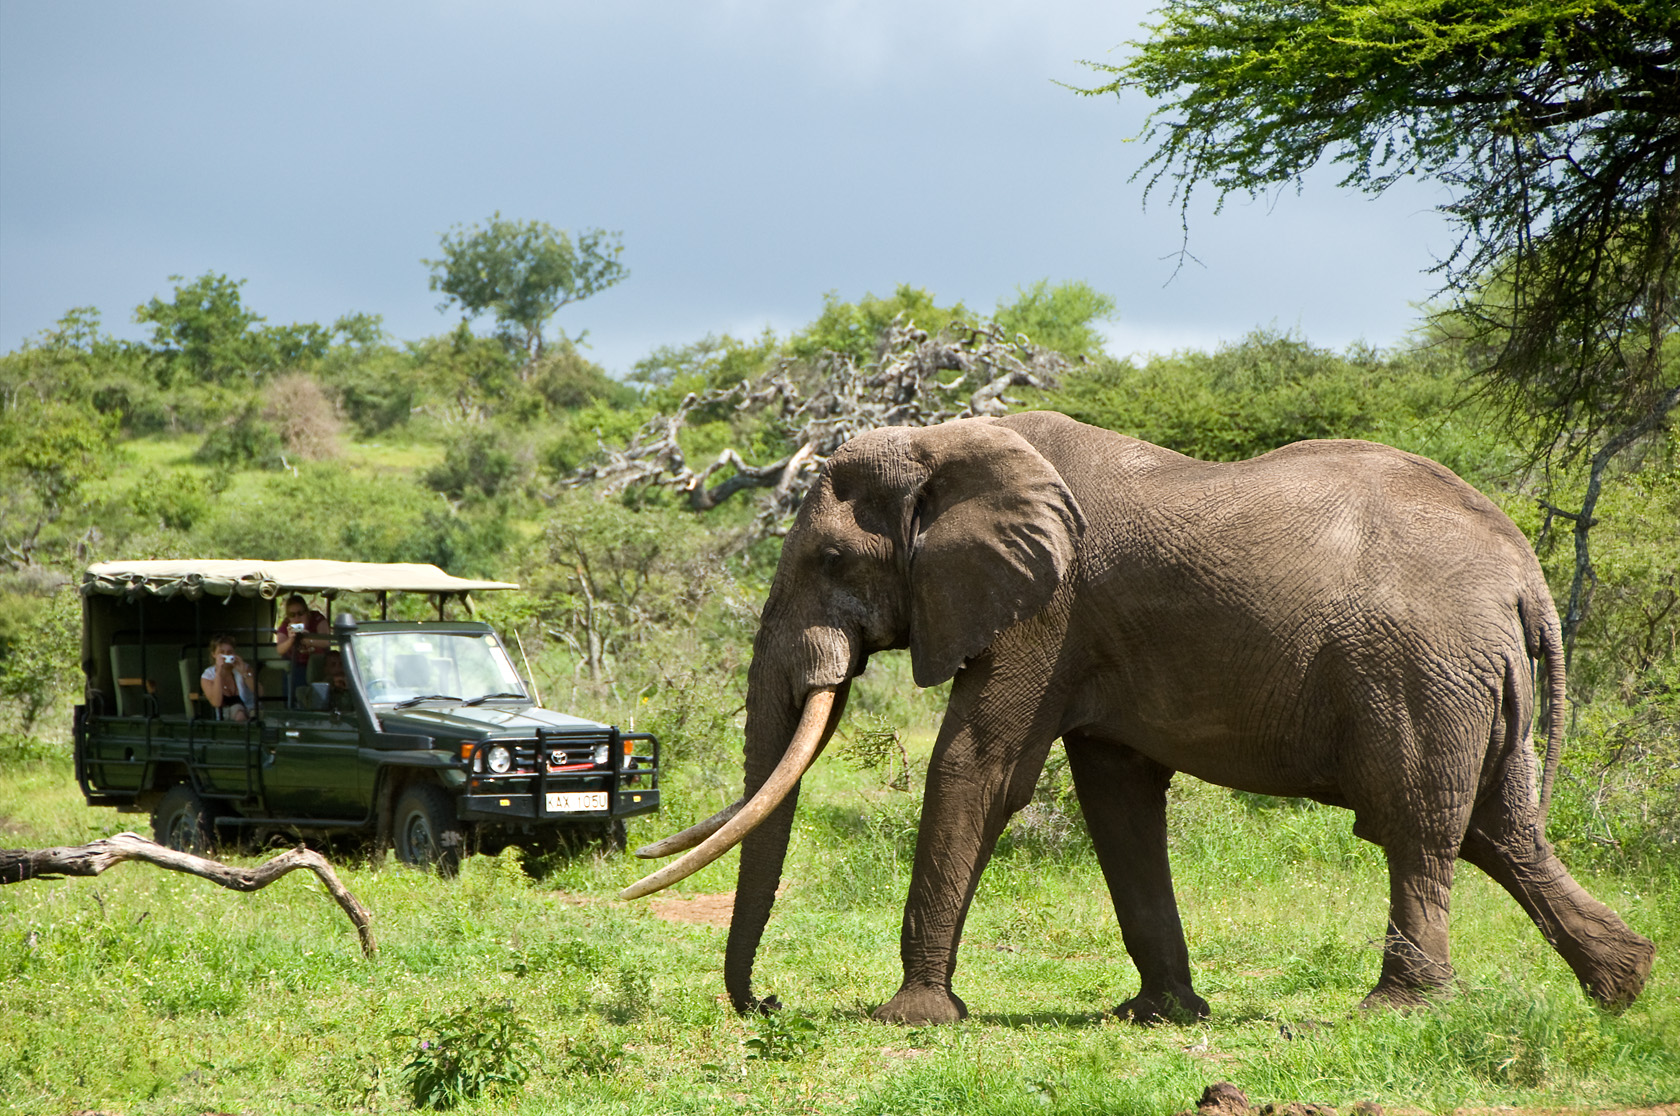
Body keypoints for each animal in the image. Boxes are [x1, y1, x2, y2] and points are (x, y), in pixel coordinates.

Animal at [624, 410, 1655, 1025]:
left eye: (832, 561)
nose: (765, 1005)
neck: (949, 443)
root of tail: (1526, 575)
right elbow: (1116, 801)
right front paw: (1158, 1017)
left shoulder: (1047, 608)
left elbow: (978, 767)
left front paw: (912, 1018)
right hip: (1478, 684)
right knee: (1501, 832)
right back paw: (1624, 987)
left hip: (1423, 675)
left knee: (1417, 828)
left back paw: (1398, 1012)